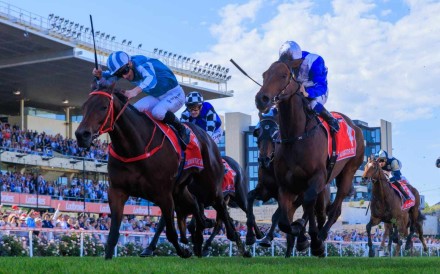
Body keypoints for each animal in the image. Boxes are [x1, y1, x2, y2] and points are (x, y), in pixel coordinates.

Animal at [75, 84, 241, 260]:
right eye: (84, 107)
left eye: (104, 106)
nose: (81, 135)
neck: (135, 148)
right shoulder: (117, 191)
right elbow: (113, 233)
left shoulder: (164, 193)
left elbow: (170, 232)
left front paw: (183, 250)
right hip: (182, 189)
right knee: (196, 206)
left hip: (210, 187)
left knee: (221, 206)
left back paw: (234, 238)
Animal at [254, 60, 364, 256]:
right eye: (264, 75)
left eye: (283, 75)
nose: (262, 99)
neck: (296, 137)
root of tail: (355, 126)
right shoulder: (285, 186)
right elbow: (284, 221)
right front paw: (298, 234)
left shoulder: (316, 178)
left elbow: (306, 205)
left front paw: (311, 240)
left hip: (348, 171)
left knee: (333, 209)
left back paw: (320, 236)